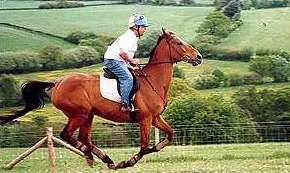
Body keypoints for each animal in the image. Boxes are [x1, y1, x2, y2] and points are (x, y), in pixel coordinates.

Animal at [0, 28, 202, 169]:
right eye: (179, 43)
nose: (198, 57)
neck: (152, 81)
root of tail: (57, 82)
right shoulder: (144, 119)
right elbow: (144, 147)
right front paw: (128, 162)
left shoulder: (155, 118)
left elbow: (170, 135)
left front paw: (151, 150)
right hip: (79, 114)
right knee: (67, 135)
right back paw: (93, 157)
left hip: (88, 115)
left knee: (83, 137)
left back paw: (103, 159)